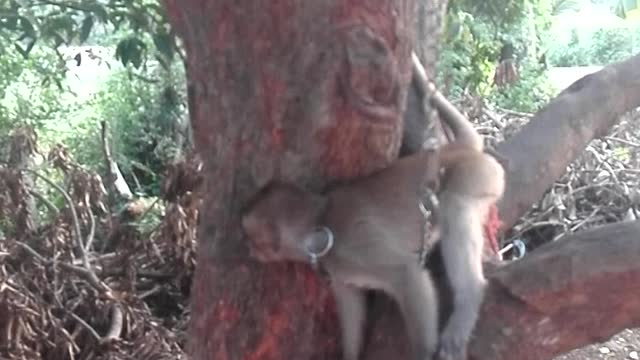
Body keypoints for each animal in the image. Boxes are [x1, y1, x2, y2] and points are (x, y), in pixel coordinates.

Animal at [241, 52, 504, 358]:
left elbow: (409, 276)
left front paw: (422, 352)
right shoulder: (340, 272)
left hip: (480, 177)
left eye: (252, 239)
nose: (249, 250)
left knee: (453, 206)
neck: (321, 220)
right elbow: (353, 309)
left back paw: (469, 298)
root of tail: (457, 150)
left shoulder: (356, 247)